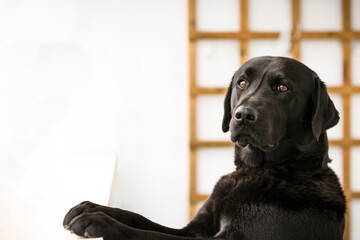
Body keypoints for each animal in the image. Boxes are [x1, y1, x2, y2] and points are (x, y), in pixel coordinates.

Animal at [62, 56, 346, 240]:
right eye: (242, 83)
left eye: (283, 87)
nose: (243, 115)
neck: (256, 171)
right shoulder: (195, 228)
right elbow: (143, 220)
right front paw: (92, 208)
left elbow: (148, 234)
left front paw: (98, 221)